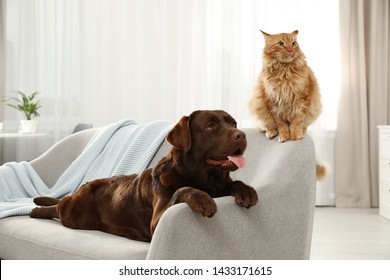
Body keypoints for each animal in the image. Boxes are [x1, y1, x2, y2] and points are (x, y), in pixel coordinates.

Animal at [250, 30, 326, 179]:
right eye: (280, 44)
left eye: (294, 43)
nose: (290, 50)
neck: (284, 71)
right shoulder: (273, 103)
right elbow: (282, 125)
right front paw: (284, 135)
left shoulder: (302, 101)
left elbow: (296, 122)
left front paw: (295, 135)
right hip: (259, 108)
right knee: (264, 126)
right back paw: (271, 132)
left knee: (304, 126)